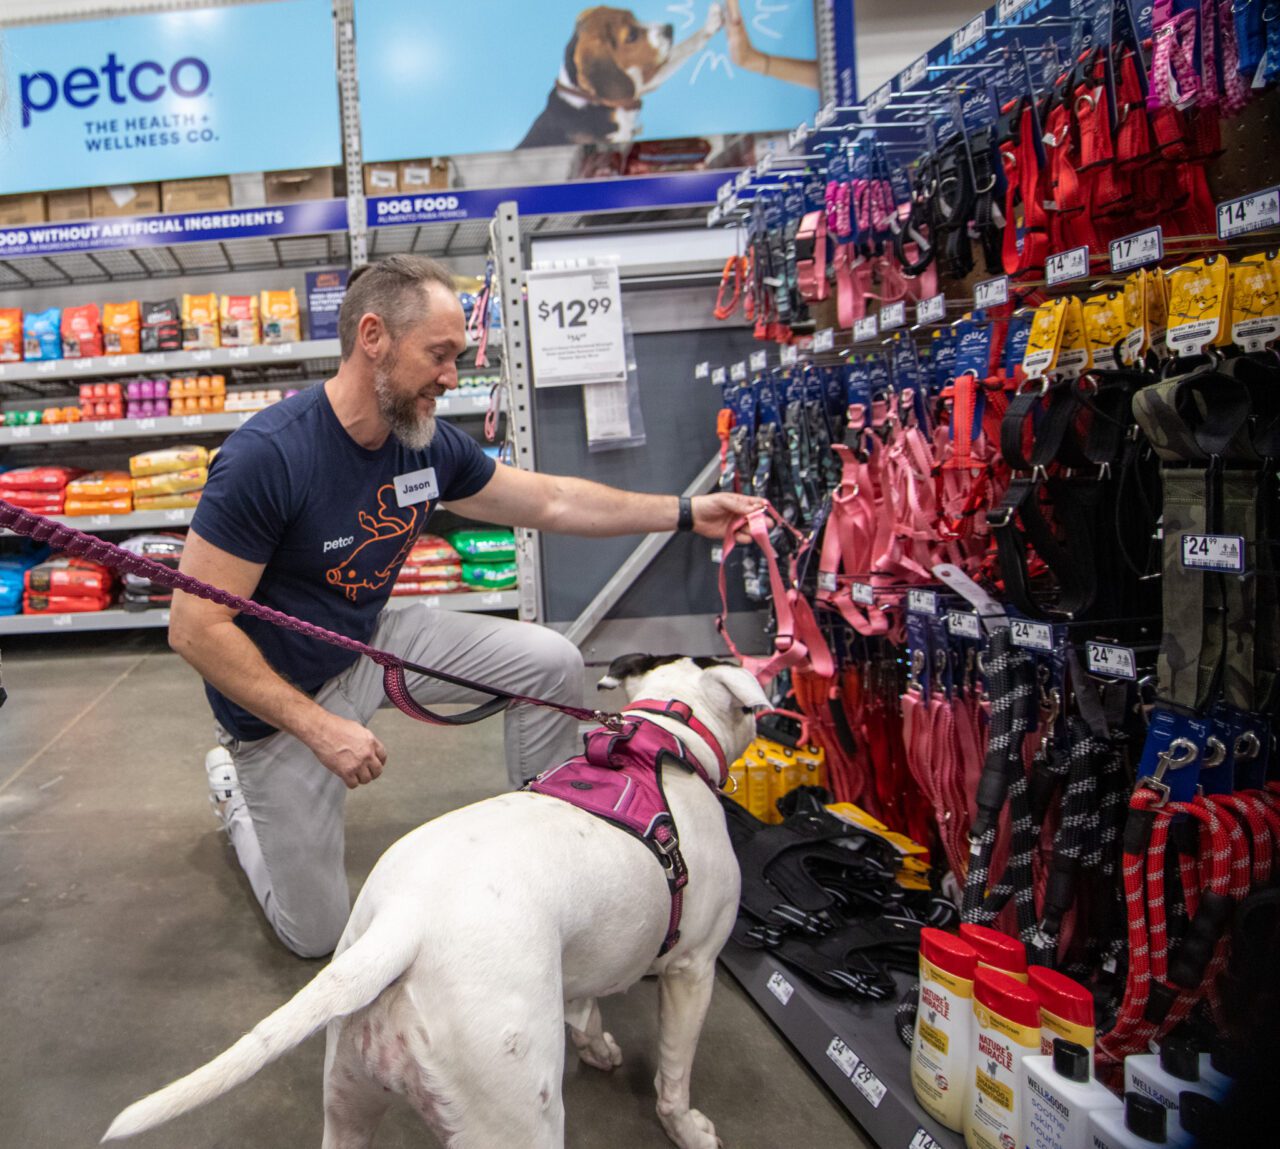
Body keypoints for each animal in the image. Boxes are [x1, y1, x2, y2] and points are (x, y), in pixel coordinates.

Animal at [104, 655, 762, 1146]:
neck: (667, 737)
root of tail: (407, 923)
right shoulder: (693, 970)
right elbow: (674, 1070)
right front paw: (686, 1127)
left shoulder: (589, 955)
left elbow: (586, 1007)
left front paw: (595, 1044)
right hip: (515, 1117)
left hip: (347, 1098)